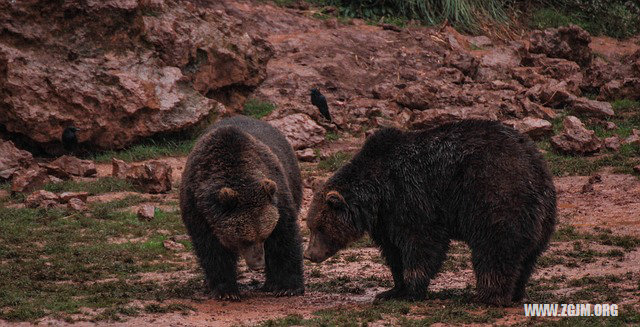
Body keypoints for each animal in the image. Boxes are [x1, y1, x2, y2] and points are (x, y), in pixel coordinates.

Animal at [180, 116, 304, 302]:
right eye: (245, 240)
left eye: (264, 236)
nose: (258, 264)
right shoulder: (197, 209)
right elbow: (211, 250)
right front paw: (226, 290)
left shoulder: (278, 196)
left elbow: (285, 237)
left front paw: (288, 287)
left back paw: (271, 283)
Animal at [304, 120, 556, 308]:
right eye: (311, 226)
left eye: (319, 227)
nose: (308, 255)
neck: (377, 194)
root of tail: (536, 166)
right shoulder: (386, 218)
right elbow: (394, 252)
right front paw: (392, 289)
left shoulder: (412, 196)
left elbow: (422, 244)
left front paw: (412, 289)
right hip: (543, 216)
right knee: (528, 256)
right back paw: (516, 291)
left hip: (495, 193)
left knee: (495, 247)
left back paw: (488, 296)